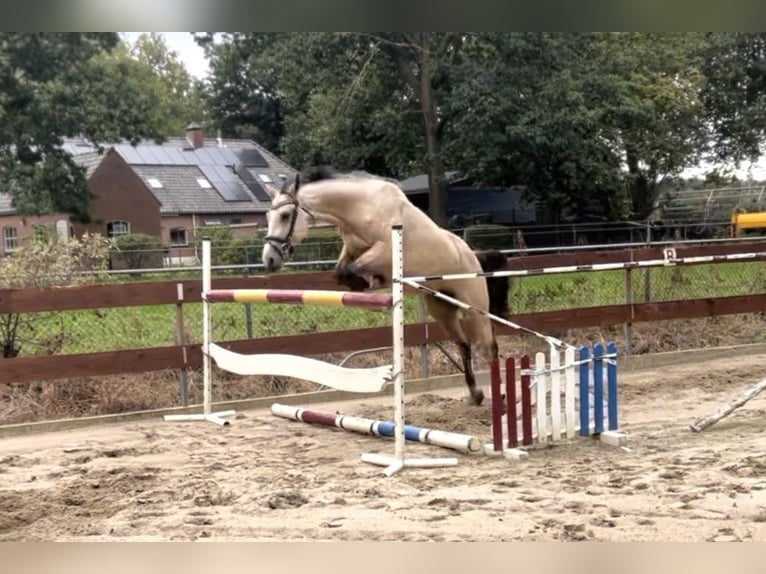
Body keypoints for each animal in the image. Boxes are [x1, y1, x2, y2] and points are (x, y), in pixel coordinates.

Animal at [262, 166, 510, 408]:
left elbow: (353, 269)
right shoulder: (351, 250)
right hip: (441, 308)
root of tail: (474, 255)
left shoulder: (385, 250)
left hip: (474, 309)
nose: (269, 259)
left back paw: (499, 396)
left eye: (285, 216)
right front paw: (365, 284)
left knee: (489, 346)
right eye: (268, 216)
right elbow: (342, 273)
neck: (360, 208)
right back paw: (475, 395)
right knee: (464, 344)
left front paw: (369, 282)